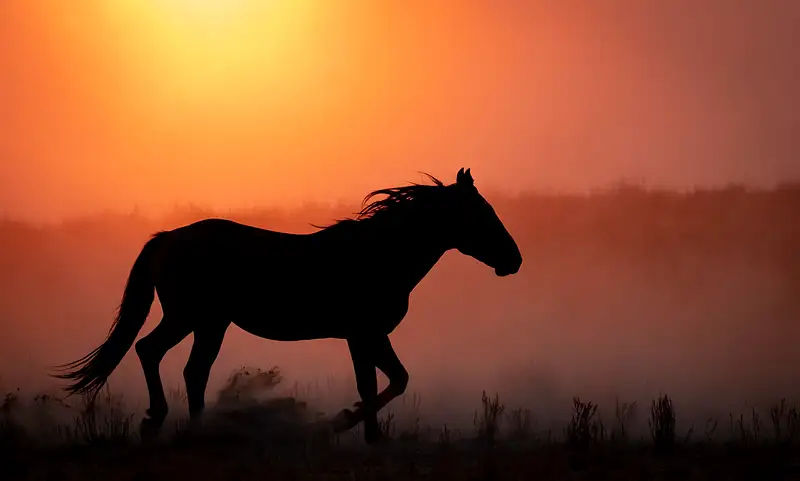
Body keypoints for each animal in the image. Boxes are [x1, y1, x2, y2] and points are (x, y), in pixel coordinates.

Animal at [53, 168, 522, 443]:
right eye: (481, 213)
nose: (514, 261)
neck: (378, 254)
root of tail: (167, 238)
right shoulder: (365, 333)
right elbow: (387, 382)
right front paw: (342, 423)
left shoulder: (364, 337)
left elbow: (378, 382)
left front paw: (370, 436)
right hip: (190, 317)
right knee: (151, 352)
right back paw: (160, 420)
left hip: (210, 323)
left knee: (192, 371)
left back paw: (202, 429)